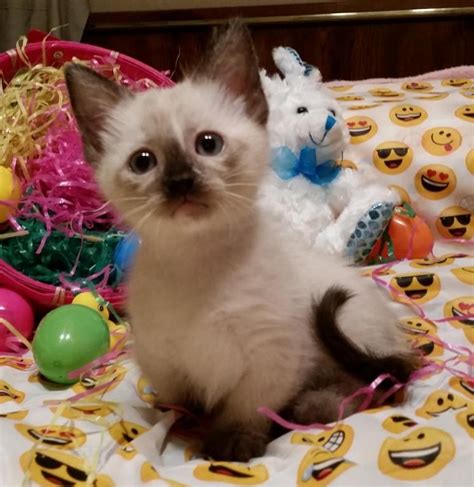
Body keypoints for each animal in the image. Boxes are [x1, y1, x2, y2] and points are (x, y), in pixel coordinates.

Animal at [65, 21, 416, 464]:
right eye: (143, 162)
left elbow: (245, 409)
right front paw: (183, 433)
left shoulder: (268, 359)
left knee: (374, 383)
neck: (197, 262)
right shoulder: (164, 361)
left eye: (208, 144)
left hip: (346, 327)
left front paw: (231, 446)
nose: (181, 183)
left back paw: (310, 406)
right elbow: (180, 407)